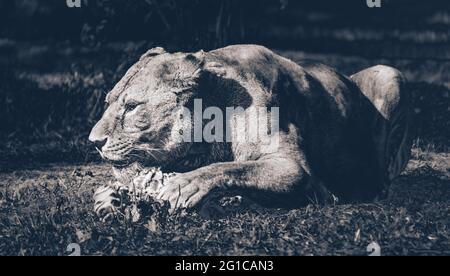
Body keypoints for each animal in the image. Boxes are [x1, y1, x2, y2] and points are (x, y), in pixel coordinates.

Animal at [89, 44, 414, 216]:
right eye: (107, 102)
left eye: (132, 107)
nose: (94, 141)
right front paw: (108, 198)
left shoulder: (296, 168)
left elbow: (233, 168)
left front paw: (186, 184)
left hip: (390, 74)